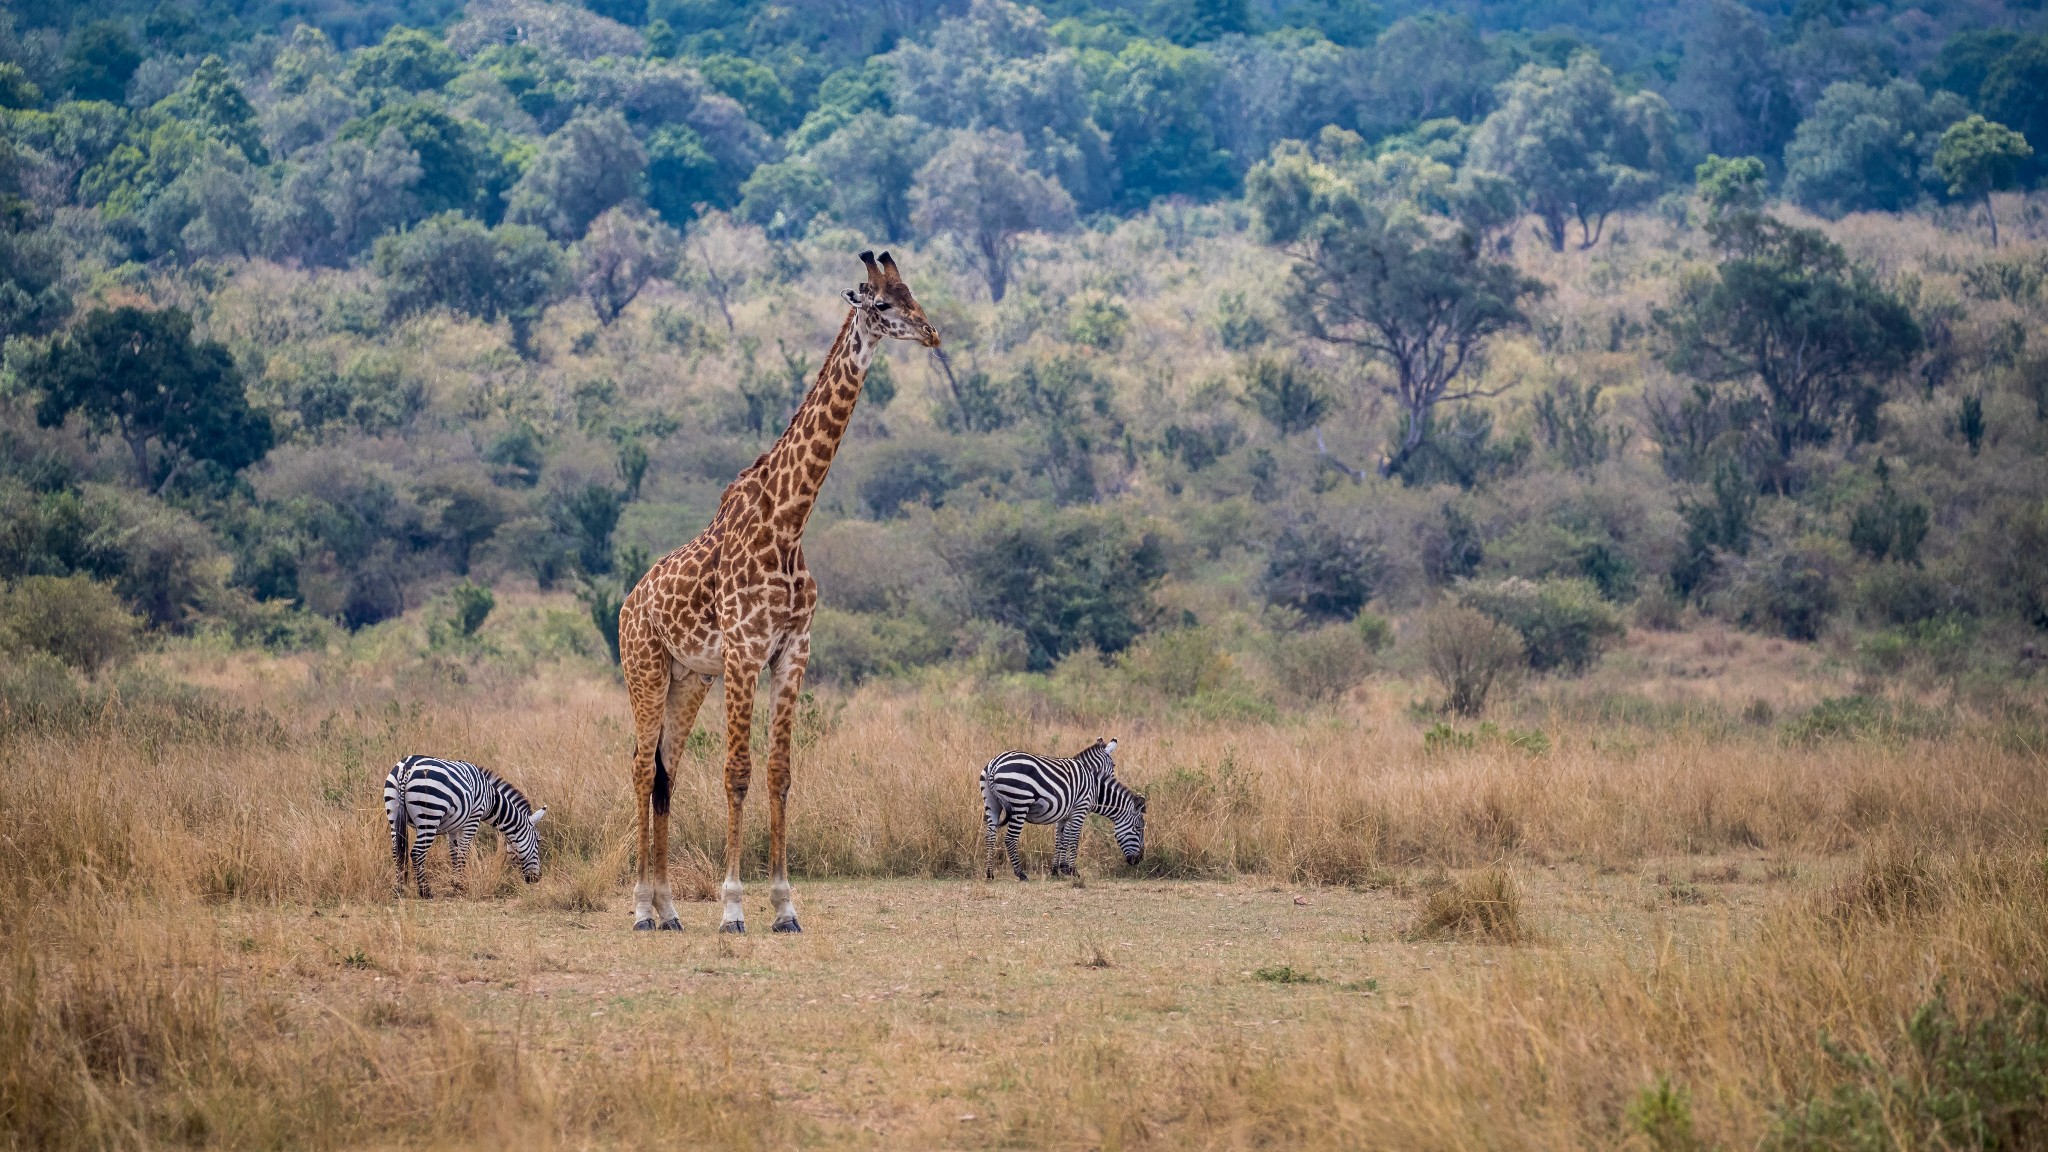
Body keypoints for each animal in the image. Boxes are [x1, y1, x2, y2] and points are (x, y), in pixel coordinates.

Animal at [382, 754, 548, 897]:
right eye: (538, 841)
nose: (537, 878)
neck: (491, 799)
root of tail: (406, 767)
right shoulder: (473, 818)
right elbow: (463, 851)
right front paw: (460, 885)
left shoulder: (453, 827)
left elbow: (454, 853)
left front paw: (455, 882)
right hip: (429, 817)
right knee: (417, 853)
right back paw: (425, 892)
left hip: (393, 812)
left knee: (397, 851)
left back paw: (399, 889)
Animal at [618, 251, 937, 934]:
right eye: (882, 304)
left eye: (913, 295)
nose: (933, 335)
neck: (789, 521)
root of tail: (628, 604)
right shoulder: (744, 650)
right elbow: (737, 772)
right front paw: (733, 908)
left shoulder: (792, 651)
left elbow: (779, 772)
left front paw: (786, 906)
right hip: (646, 668)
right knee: (638, 765)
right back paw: (640, 909)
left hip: (689, 678)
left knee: (665, 771)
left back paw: (669, 910)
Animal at [978, 733, 1146, 877]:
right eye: (1138, 829)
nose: (1139, 860)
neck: (1091, 781)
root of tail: (994, 764)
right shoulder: (1079, 810)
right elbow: (1073, 839)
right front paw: (1072, 870)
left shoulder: (1063, 815)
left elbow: (1060, 839)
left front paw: (1056, 870)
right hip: (1020, 803)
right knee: (1010, 838)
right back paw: (1020, 874)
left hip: (991, 803)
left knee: (990, 835)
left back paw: (989, 873)